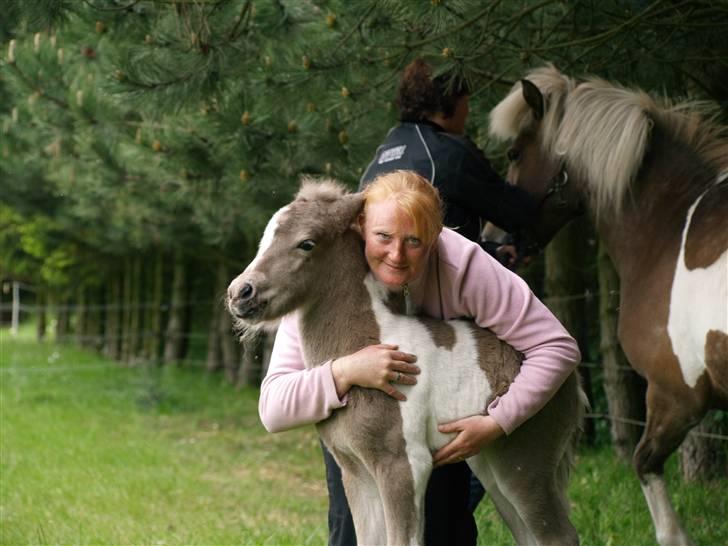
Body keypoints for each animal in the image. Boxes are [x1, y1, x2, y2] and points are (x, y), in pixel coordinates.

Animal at [230, 181, 584, 540]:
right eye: (264, 238)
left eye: (306, 243)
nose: (240, 293)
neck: (368, 342)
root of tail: (573, 380)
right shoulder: (355, 470)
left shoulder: (403, 464)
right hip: (491, 463)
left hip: (524, 465)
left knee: (557, 534)